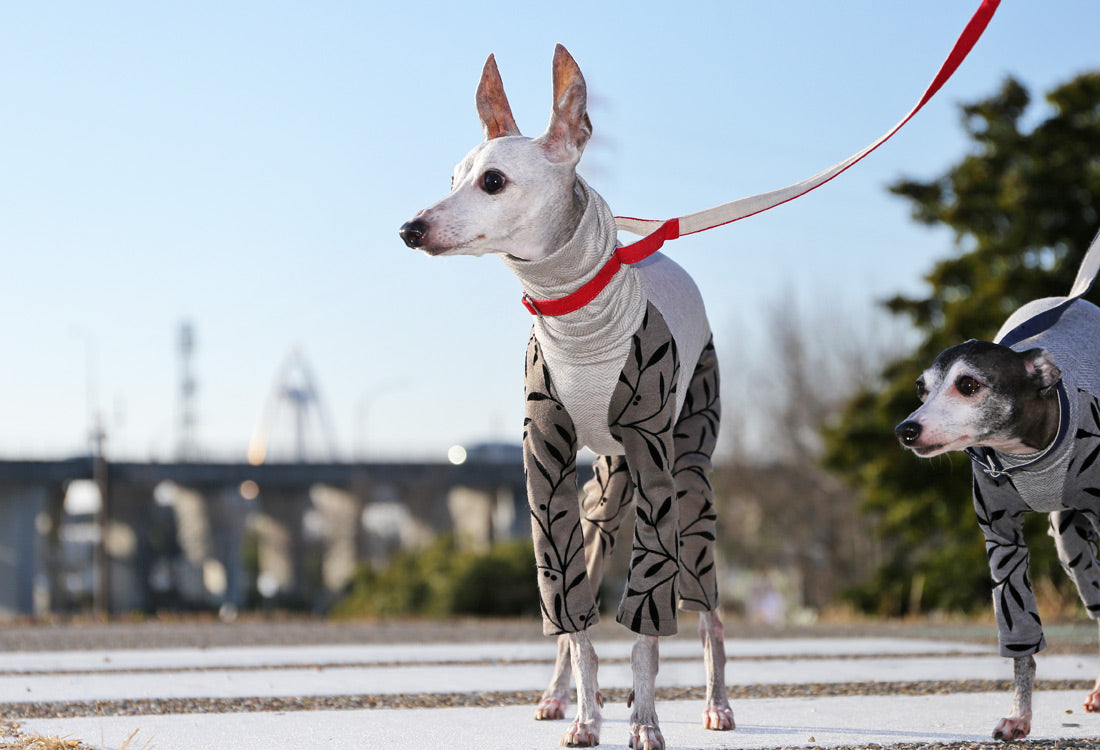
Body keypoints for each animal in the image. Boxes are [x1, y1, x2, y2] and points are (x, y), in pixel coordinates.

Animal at [400, 46, 734, 747]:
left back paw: (716, 701)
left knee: (705, 606)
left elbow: (645, 629)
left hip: (690, 466)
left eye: (493, 181)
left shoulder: (656, 464)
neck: (574, 308)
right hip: (601, 495)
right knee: (587, 573)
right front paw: (585, 712)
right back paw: (560, 695)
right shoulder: (546, 465)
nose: (410, 228)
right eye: (452, 175)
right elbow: (573, 620)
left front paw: (646, 721)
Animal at [897, 292, 1100, 734]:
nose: (906, 430)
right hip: (1070, 540)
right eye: (922, 389)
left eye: (968, 385)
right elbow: (1020, 638)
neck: (1031, 455)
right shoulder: (1001, 539)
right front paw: (1018, 716)